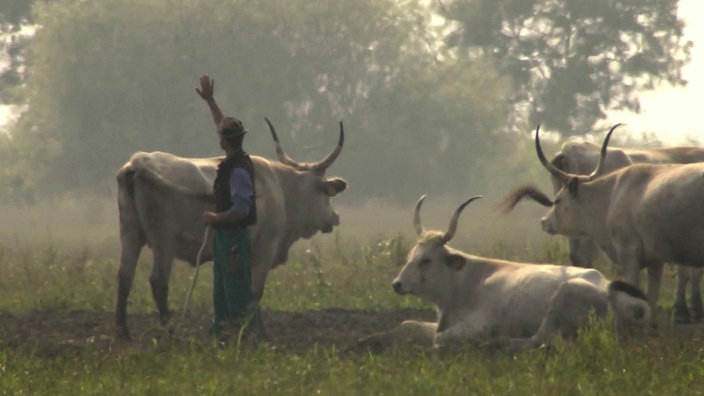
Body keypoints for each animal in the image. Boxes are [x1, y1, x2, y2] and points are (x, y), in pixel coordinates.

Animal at [115, 119, 346, 338]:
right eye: (327, 194)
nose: (335, 217)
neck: (280, 187)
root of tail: (138, 162)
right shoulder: (265, 248)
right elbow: (255, 291)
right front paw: (258, 333)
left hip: (130, 233)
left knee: (124, 276)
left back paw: (123, 333)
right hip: (163, 240)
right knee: (159, 281)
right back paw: (171, 333)